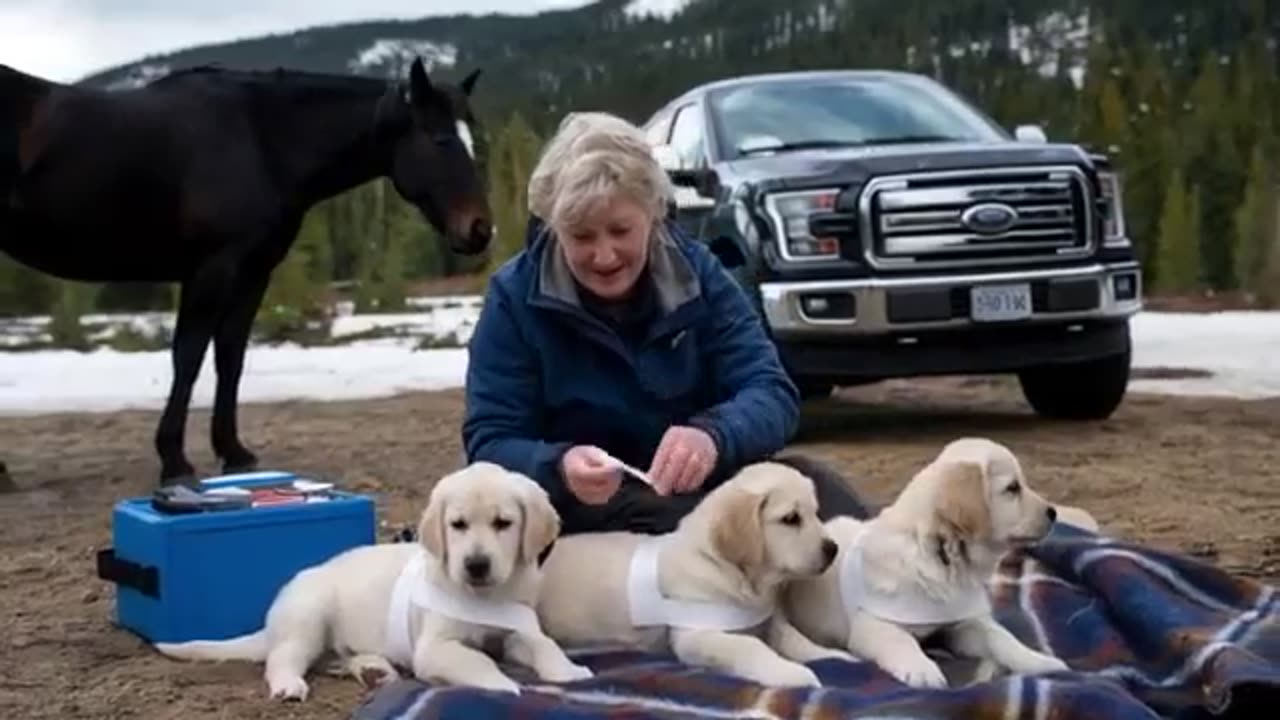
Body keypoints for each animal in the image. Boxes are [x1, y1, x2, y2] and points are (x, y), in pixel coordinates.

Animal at [0, 56, 491, 481]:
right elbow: (189, 355)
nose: (481, 230)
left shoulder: (254, 271)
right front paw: (174, 457)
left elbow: (230, 355)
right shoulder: (211, 268)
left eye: (475, 142)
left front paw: (232, 451)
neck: (261, 139)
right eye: (442, 140)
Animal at [154, 461, 588, 696]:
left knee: (341, 655)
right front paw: (502, 685)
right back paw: (289, 684)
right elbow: (476, 659)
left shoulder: (517, 631)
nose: (476, 565)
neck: (486, 595)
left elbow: (543, 645)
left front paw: (568, 671)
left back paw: (374, 670)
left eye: (503, 523)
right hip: (308, 616)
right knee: (283, 657)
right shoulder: (435, 646)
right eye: (458, 525)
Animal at [532, 458, 844, 681]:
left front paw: (832, 655)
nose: (833, 549)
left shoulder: (768, 623)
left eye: (816, 513)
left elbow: (795, 638)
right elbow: (750, 647)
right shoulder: (697, 636)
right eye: (791, 519)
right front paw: (791, 673)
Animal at [778, 435, 1070, 686]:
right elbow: (900, 640)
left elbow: (1000, 636)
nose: (1053, 513)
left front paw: (1038, 661)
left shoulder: (962, 623)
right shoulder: (870, 625)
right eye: (1012, 488)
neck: (936, 551)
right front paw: (922, 670)